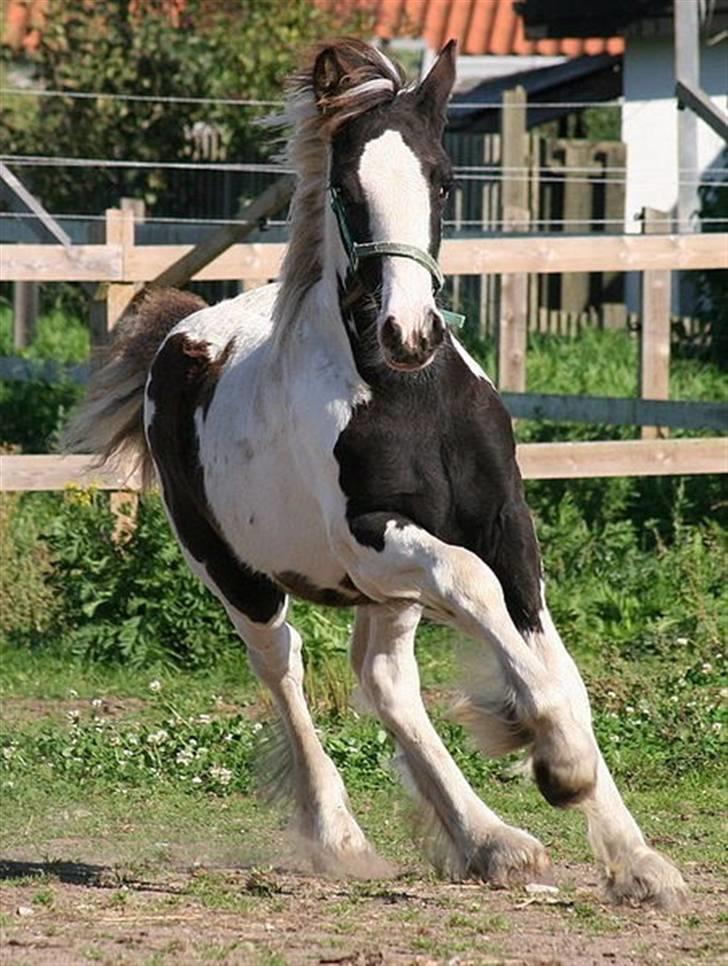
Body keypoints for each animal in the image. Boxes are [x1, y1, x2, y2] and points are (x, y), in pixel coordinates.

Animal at [65, 37, 684, 912]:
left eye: (444, 181)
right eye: (348, 189)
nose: (408, 331)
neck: (409, 399)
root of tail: (179, 333)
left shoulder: (505, 526)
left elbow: (550, 659)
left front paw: (635, 859)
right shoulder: (370, 540)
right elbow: (474, 588)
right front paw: (551, 758)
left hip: (388, 598)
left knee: (387, 681)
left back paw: (491, 841)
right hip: (241, 577)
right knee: (286, 671)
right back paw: (345, 839)